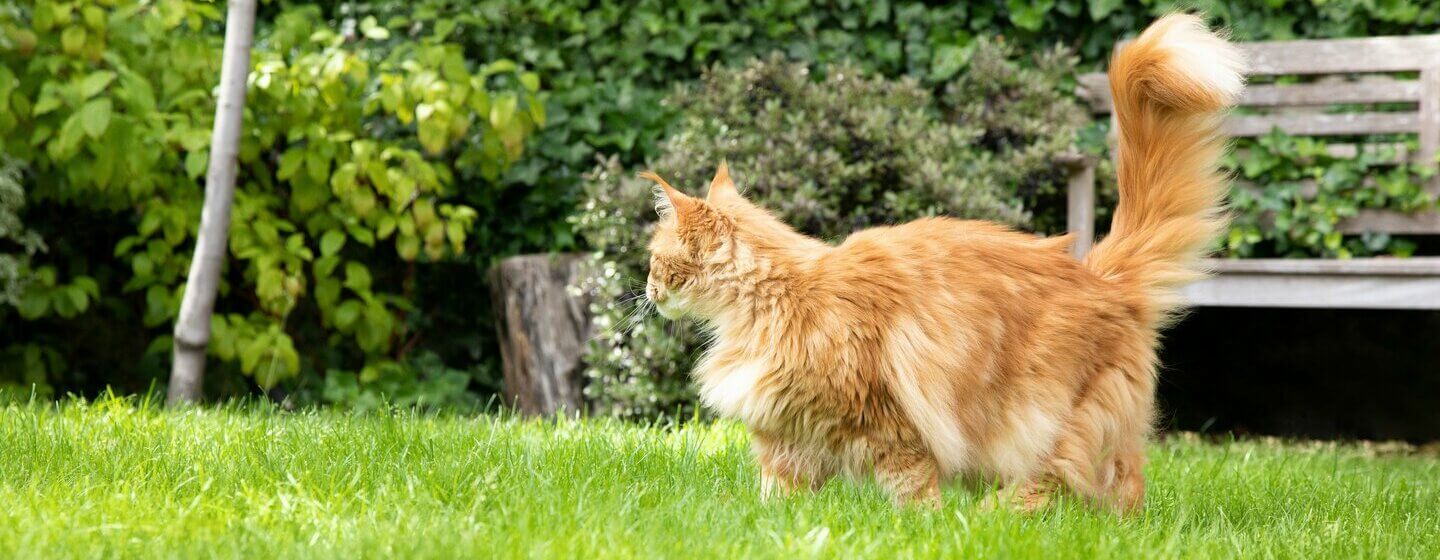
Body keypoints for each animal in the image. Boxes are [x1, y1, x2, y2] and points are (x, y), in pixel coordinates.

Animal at [636, 13, 1244, 509]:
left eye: (654, 260)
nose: (647, 290)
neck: (776, 300)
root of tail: (1099, 273)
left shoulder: (891, 422)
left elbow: (911, 488)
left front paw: (921, 525)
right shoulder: (787, 434)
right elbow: (774, 498)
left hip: (1041, 417)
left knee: (1058, 481)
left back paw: (992, 518)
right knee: (1126, 483)